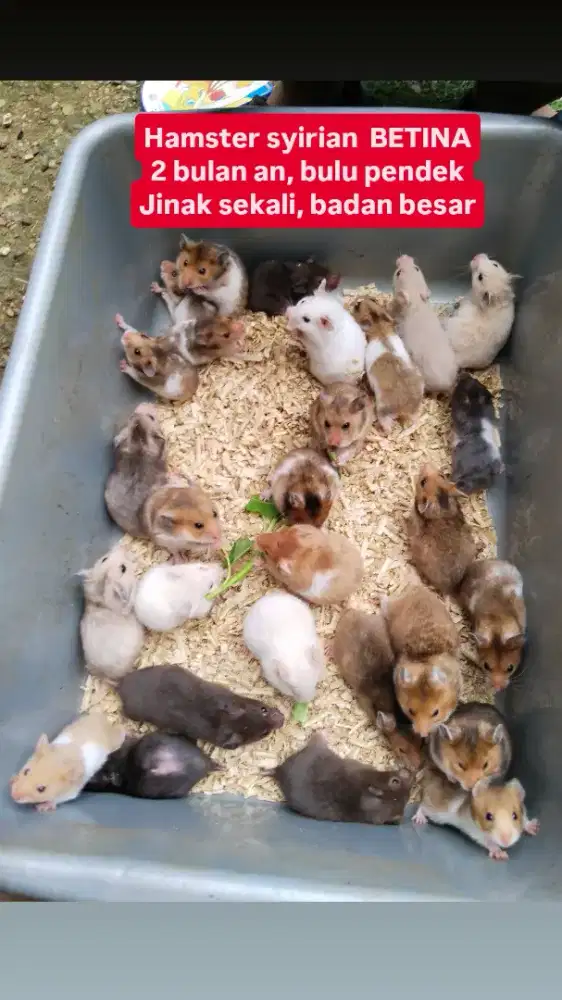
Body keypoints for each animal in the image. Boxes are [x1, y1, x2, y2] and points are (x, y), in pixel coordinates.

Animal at [118, 664, 285, 749]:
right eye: (264, 733)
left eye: (264, 709)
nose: (283, 719)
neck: (226, 721)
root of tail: (121, 685)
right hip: (133, 713)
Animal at [352, 297, 424, 434]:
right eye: (373, 300)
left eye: (357, 306)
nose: (358, 301)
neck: (380, 327)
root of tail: (408, 408)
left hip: (383, 412)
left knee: (388, 429)